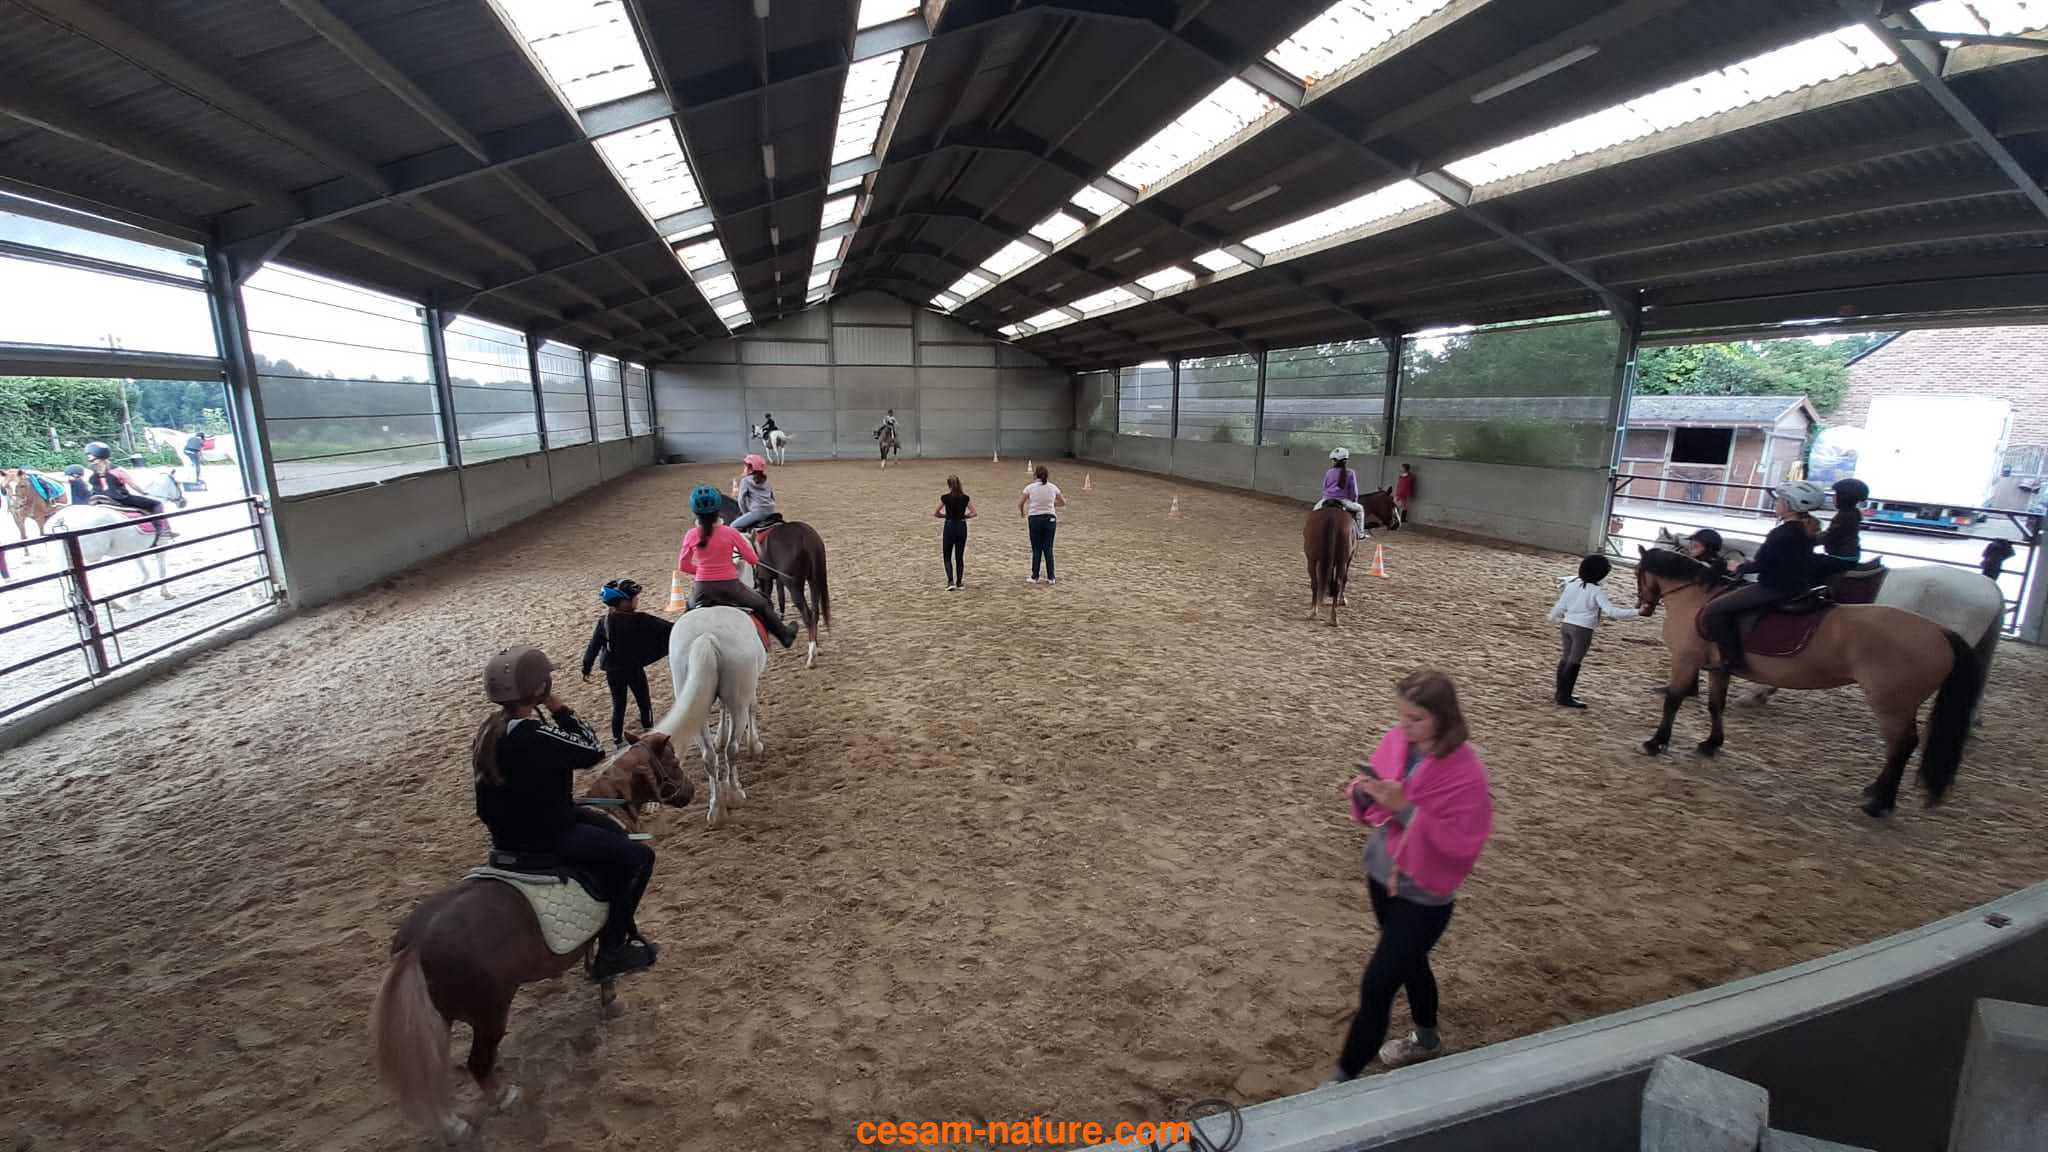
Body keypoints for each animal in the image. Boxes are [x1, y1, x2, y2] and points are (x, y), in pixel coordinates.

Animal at [368, 735, 692, 1140]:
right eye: (674, 761)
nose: (690, 792)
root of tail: (416, 944)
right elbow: (610, 954)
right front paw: (612, 996)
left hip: (438, 1019)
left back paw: (454, 1125)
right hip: (490, 1014)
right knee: (478, 1063)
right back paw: (502, 1097)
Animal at [666, 594, 770, 828]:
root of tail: (706, 637)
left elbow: (722, 709)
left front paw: (719, 736)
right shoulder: (749, 690)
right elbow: (753, 706)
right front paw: (754, 744)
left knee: (708, 756)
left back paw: (716, 810)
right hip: (738, 701)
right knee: (732, 749)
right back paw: (735, 795)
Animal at [1632, 547, 1983, 817]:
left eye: (1638, 573)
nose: (1642, 607)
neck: (1696, 599)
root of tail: (1941, 633)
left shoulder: (1686, 659)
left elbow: (1674, 699)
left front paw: (1656, 742)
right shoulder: (1718, 668)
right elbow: (1715, 704)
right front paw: (1711, 743)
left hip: (1891, 703)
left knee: (1902, 745)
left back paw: (1879, 803)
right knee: (1899, 747)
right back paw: (1875, 792)